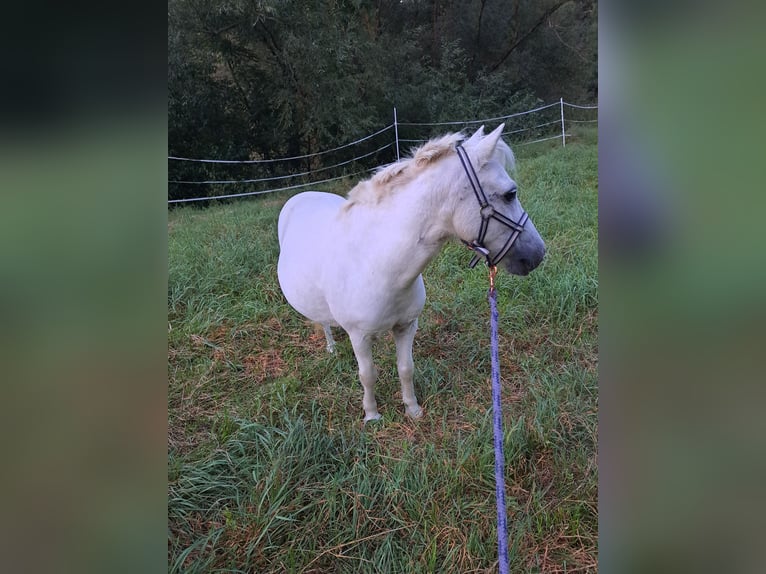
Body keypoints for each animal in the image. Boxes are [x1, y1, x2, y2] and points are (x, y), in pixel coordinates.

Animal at [278, 125, 544, 424]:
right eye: (510, 193)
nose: (538, 254)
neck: (377, 264)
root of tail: (300, 196)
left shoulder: (406, 326)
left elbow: (406, 368)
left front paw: (412, 409)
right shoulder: (359, 336)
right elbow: (367, 375)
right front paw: (372, 415)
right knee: (324, 323)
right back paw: (332, 348)